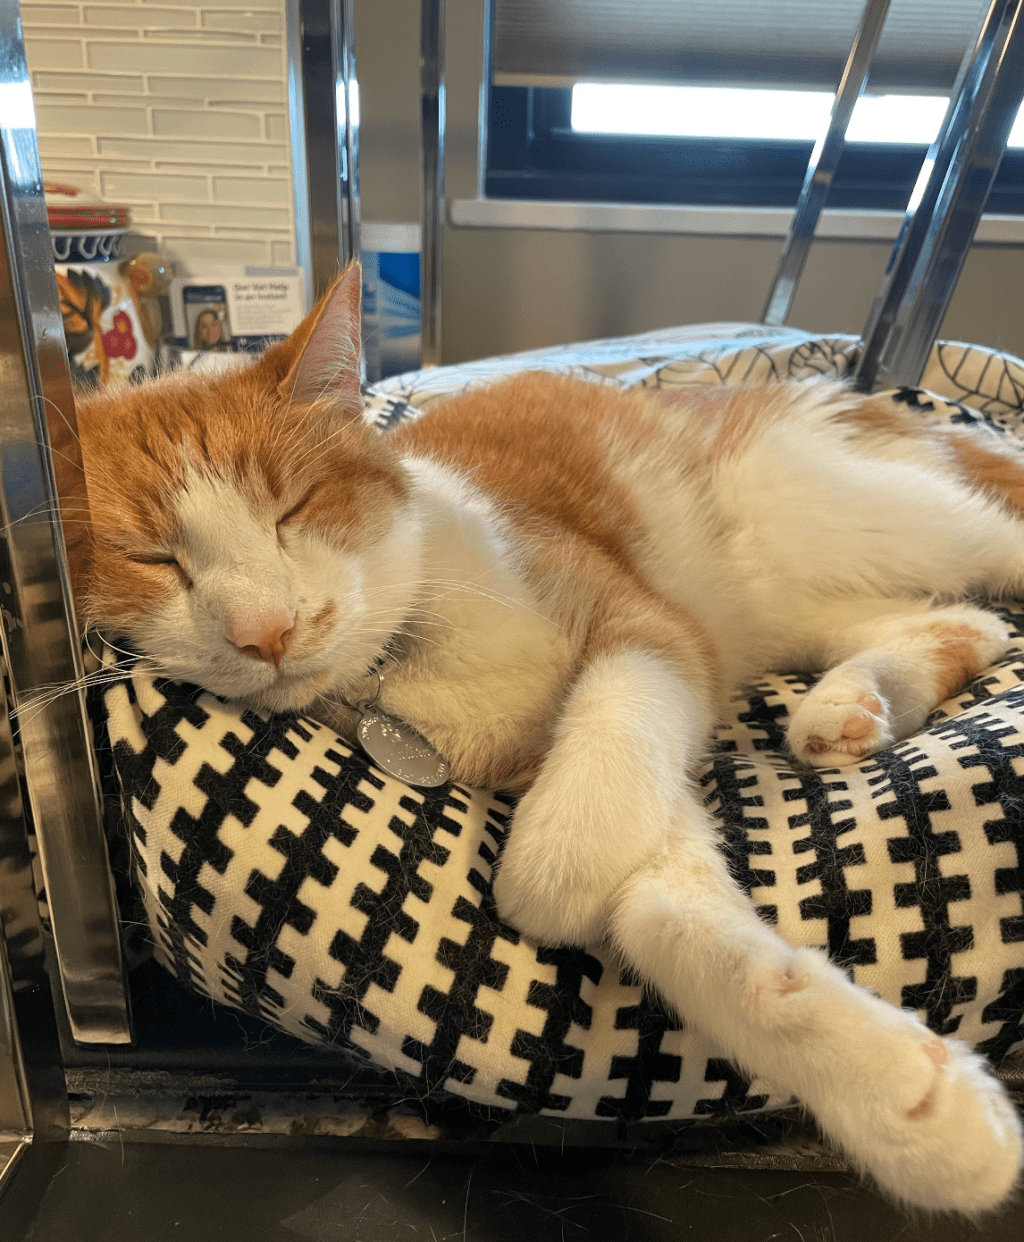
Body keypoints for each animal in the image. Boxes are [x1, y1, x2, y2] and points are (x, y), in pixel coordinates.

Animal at [68, 261, 1024, 1214]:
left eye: (292, 510)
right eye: (153, 560)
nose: (264, 632)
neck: (401, 661)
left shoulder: (648, 625)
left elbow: (621, 711)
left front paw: (553, 864)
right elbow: (670, 911)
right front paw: (904, 1096)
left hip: (867, 514)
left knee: (989, 552)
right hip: (792, 598)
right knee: (961, 619)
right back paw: (853, 703)